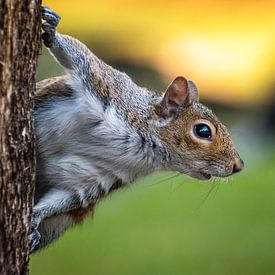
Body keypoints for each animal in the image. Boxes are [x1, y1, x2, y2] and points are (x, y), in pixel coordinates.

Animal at [29, 5, 245, 252]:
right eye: (203, 131)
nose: (238, 166)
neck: (142, 147)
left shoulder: (96, 178)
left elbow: (67, 196)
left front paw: (35, 216)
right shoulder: (106, 86)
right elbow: (81, 57)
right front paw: (53, 30)